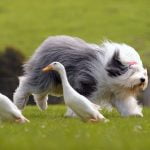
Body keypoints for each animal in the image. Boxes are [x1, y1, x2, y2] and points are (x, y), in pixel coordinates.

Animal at [13, 35, 148, 117]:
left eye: (142, 71)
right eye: (131, 71)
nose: (143, 79)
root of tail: (48, 42)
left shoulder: (115, 92)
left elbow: (126, 104)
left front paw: (133, 114)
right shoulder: (88, 83)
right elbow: (82, 99)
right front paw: (77, 114)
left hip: (55, 83)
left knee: (39, 93)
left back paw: (42, 105)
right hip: (44, 77)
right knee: (27, 85)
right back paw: (19, 103)